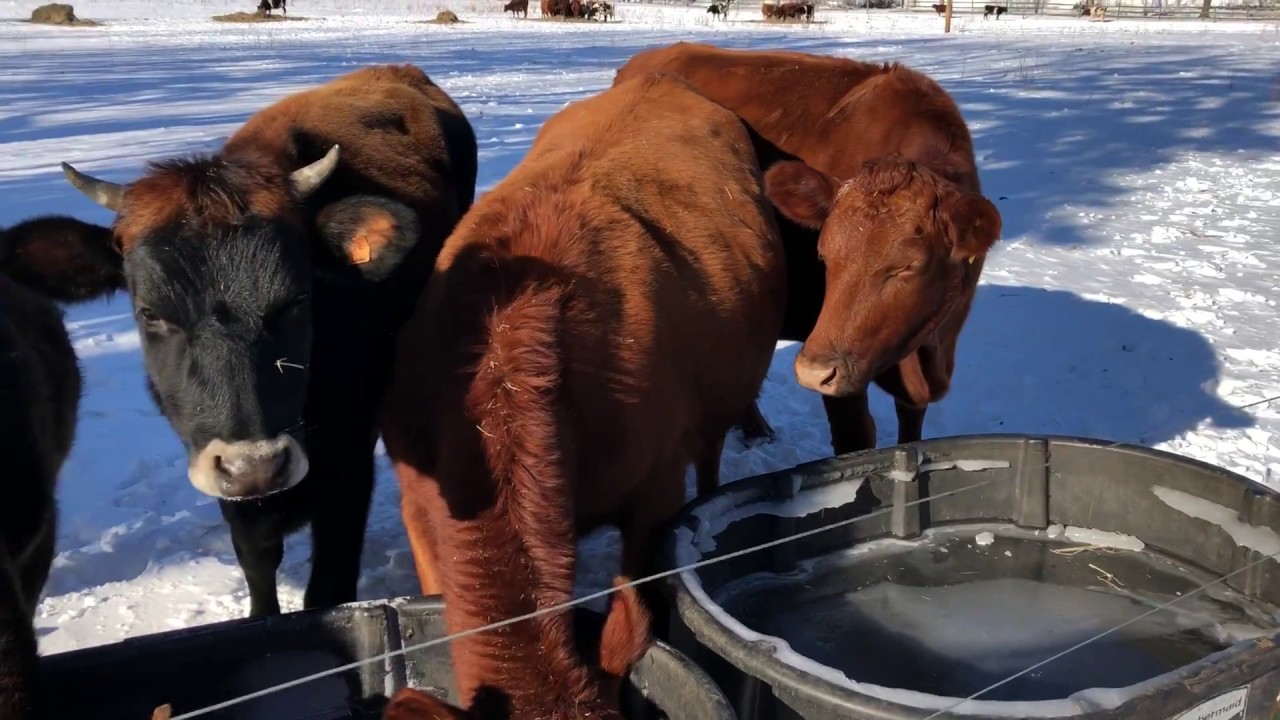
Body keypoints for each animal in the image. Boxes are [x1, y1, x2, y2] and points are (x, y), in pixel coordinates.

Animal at [52, 64, 479, 618]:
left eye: (298, 298)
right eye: (150, 313)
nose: (254, 467)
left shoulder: (348, 463)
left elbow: (329, 584)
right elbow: (257, 558)